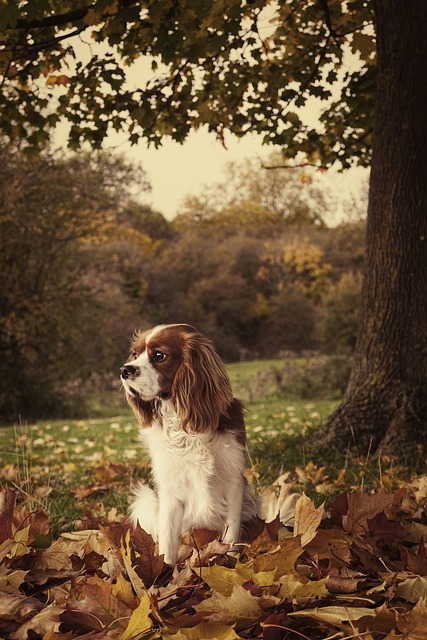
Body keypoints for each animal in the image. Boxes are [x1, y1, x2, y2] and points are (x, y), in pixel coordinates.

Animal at [118, 322, 258, 564]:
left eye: (159, 355)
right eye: (135, 354)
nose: (125, 370)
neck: (185, 425)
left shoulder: (233, 482)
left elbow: (231, 534)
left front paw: (231, 564)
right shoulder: (170, 490)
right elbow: (167, 539)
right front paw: (165, 570)